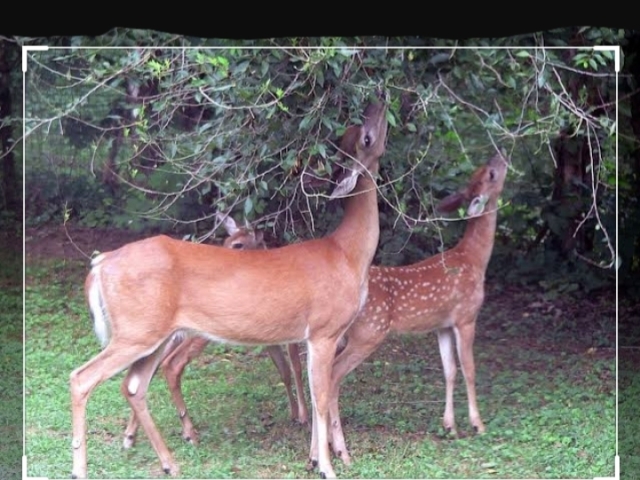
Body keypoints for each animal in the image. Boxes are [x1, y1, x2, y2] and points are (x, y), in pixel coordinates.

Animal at [120, 211, 310, 454]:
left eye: (238, 244)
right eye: (227, 241)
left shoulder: (271, 337)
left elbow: (285, 370)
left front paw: (295, 413)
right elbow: (296, 366)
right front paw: (303, 416)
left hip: (169, 337)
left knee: (146, 373)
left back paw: (130, 436)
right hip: (196, 335)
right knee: (170, 365)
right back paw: (187, 434)